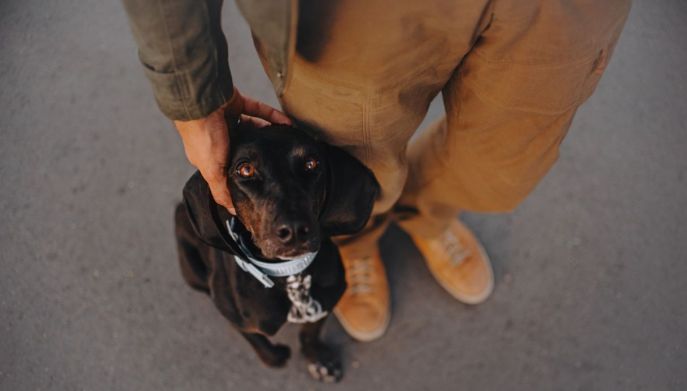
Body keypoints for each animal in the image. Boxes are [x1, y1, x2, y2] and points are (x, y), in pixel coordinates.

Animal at [171, 122, 376, 382]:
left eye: (311, 163)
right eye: (245, 169)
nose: (295, 230)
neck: (290, 275)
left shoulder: (326, 299)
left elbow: (310, 332)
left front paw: (319, 359)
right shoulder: (239, 318)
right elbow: (257, 340)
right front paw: (275, 356)